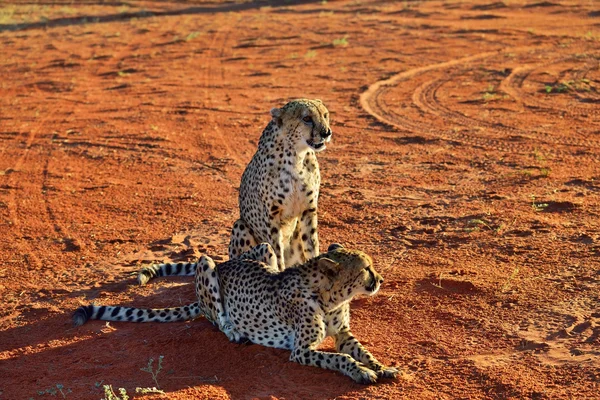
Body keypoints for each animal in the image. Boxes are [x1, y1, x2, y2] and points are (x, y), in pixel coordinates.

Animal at [74, 242, 398, 382]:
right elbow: (341, 358)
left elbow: (361, 350)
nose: (380, 279)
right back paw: (235, 332)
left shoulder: (343, 333)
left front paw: (381, 367)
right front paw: (361, 372)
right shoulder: (300, 350)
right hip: (206, 264)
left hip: (265, 248)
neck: (331, 297)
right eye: (366, 269)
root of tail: (227, 263)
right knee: (217, 318)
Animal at [138, 98, 330, 284]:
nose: (326, 132)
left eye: (325, 115)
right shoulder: (272, 217)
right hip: (240, 225)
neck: (297, 155)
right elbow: (277, 251)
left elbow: (312, 246)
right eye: (307, 118)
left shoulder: (308, 211)